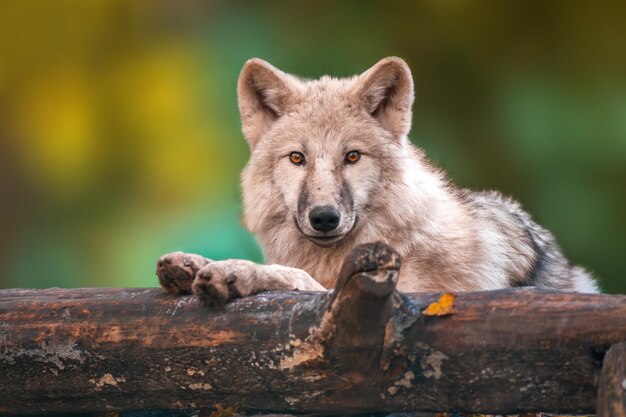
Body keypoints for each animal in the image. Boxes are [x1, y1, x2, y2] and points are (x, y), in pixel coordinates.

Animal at [155, 56, 596, 302]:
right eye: (297, 158)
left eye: (352, 157)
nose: (324, 218)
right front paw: (192, 265)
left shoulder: (397, 297)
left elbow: (297, 277)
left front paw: (236, 272)